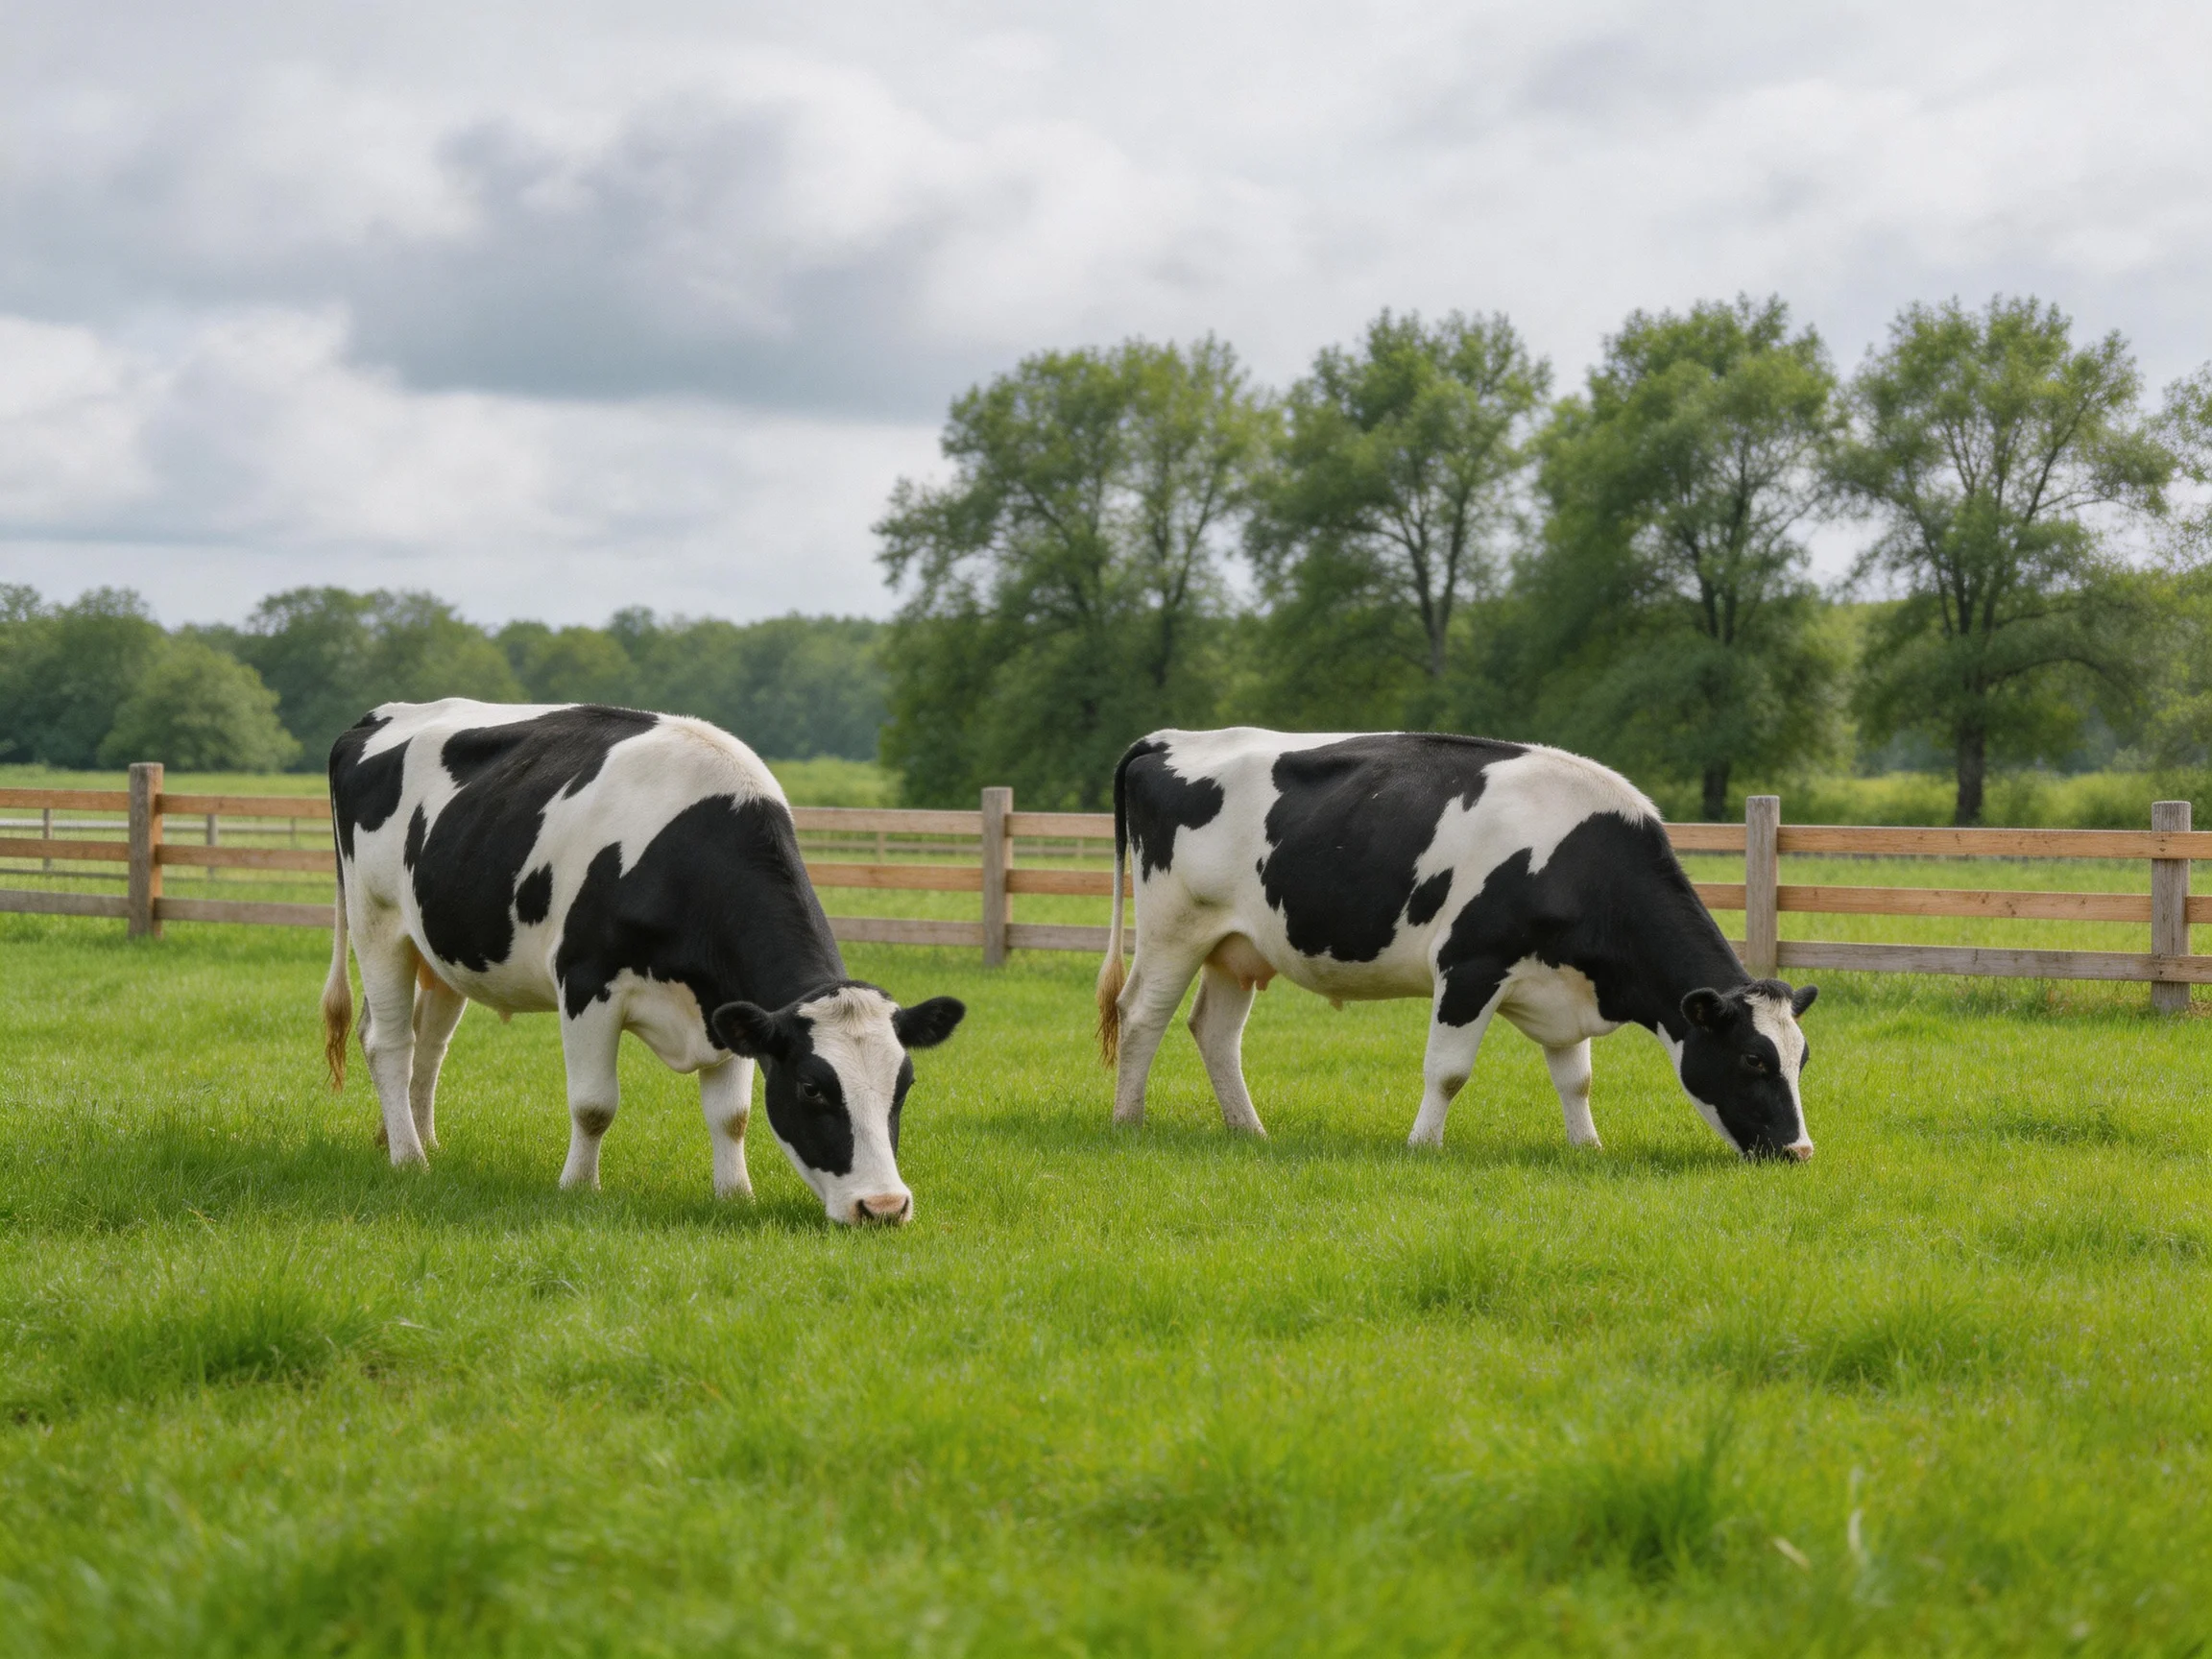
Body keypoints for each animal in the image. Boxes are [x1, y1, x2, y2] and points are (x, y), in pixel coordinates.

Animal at [320, 699, 965, 1224]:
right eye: (812, 1088)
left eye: (906, 1083)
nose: (883, 1207)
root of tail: (378, 716)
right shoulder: (586, 982)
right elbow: (593, 1105)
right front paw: (579, 1189)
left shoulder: (727, 1009)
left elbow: (732, 1116)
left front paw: (735, 1196)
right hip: (377, 921)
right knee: (390, 1043)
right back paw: (409, 1160)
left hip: (441, 949)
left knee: (428, 1048)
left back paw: (414, 1141)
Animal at [1095, 729, 1819, 1161]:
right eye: (1754, 1060)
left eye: (1801, 1060)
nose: (1800, 1151)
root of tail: (1174, 737)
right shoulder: (1470, 965)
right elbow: (1447, 1070)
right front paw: (1423, 1145)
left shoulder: (1562, 986)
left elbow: (1577, 1078)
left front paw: (1587, 1148)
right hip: (1173, 927)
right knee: (1142, 1015)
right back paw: (1128, 1121)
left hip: (1237, 946)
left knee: (1214, 1030)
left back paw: (1249, 1131)